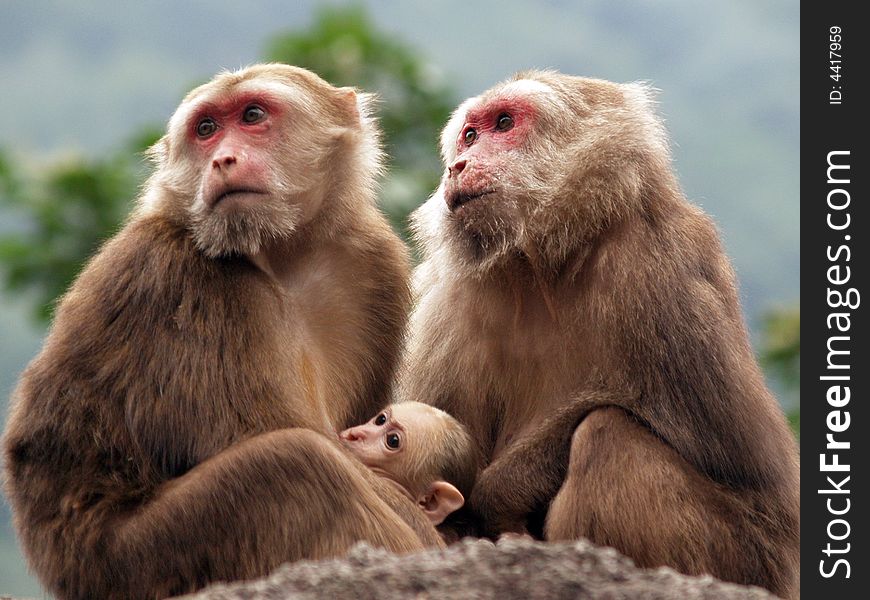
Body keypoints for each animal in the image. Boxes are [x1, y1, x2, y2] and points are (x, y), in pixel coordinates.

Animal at [3, 63, 442, 596]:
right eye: (206, 128)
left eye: (252, 115)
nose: (223, 159)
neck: (278, 255)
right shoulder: (177, 281)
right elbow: (293, 441)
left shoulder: (373, 260)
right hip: (132, 564)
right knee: (295, 465)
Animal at [406, 70, 800, 596]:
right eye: (469, 135)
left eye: (504, 123)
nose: (458, 166)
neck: (541, 267)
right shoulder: (447, 295)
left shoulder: (653, 263)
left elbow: (733, 455)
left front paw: (501, 492)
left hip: (746, 560)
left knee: (607, 437)